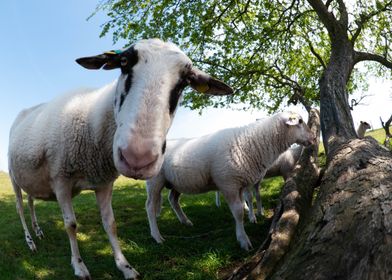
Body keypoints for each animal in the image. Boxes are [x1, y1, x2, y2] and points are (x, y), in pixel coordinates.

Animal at [8, 38, 233, 278]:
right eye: (124, 62)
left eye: (185, 81)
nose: (137, 157)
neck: (92, 123)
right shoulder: (61, 180)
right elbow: (71, 225)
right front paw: (79, 266)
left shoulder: (104, 183)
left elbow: (111, 224)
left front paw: (125, 266)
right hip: (13, 177)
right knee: (20, 208)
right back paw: (30, 241)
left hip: (31, 180)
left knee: (31, 203)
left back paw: (38, 231)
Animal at [145, 111, 314, 249]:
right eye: (299, 121)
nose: (313, 138)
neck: (252, 144)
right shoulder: (228, 183)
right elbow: (238, 212)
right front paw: (243, 240)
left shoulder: (240, 184)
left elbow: (244, 205)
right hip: (155, 181)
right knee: (150, 206)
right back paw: (157, 236)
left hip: (175, 182)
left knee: (173, 199)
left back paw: (185, 221)